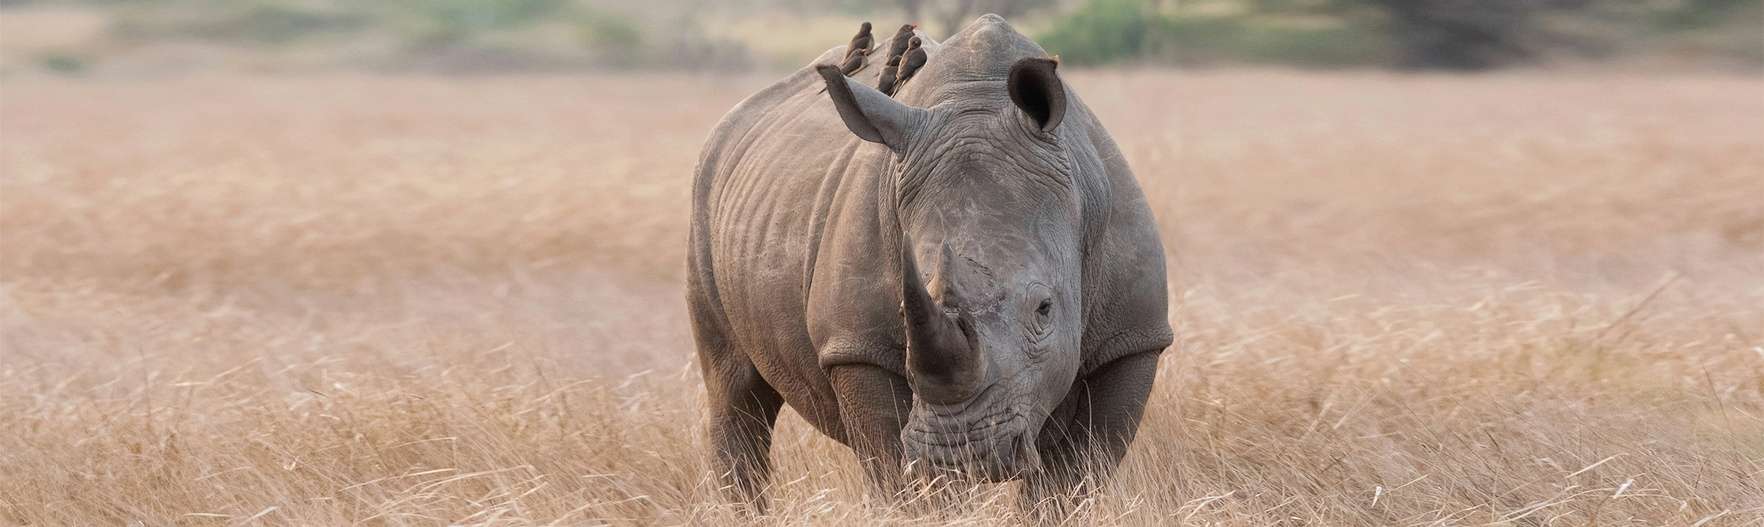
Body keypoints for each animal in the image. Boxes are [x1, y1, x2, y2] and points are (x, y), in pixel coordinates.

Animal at [686, 15, 1173, 509]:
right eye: (903, 312)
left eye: (1044, 309)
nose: (963, 455)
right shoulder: (857, 347)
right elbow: (901, 477)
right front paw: (934, 500)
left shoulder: (1131, 339)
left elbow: (1072, 479)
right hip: (705, 188)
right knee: (734, 389)